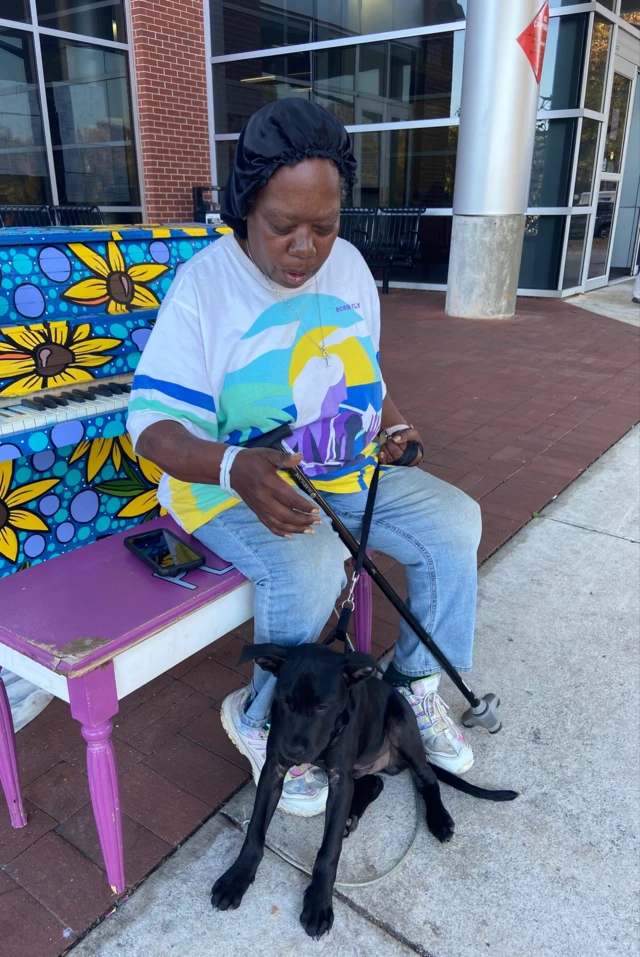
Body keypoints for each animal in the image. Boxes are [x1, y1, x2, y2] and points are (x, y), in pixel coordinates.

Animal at [212, 644, 516, 932]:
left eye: (323, 707)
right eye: (285, 701)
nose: (293, 753)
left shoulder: (339, 778)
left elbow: (329, 850)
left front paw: (318, 903)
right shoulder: (274, 769)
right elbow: (254, 833)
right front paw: (236, 878)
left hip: (402, 730)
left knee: (427, 778)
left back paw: (438, 819)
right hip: (360, 766)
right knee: (375, 782)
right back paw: (351, 815)